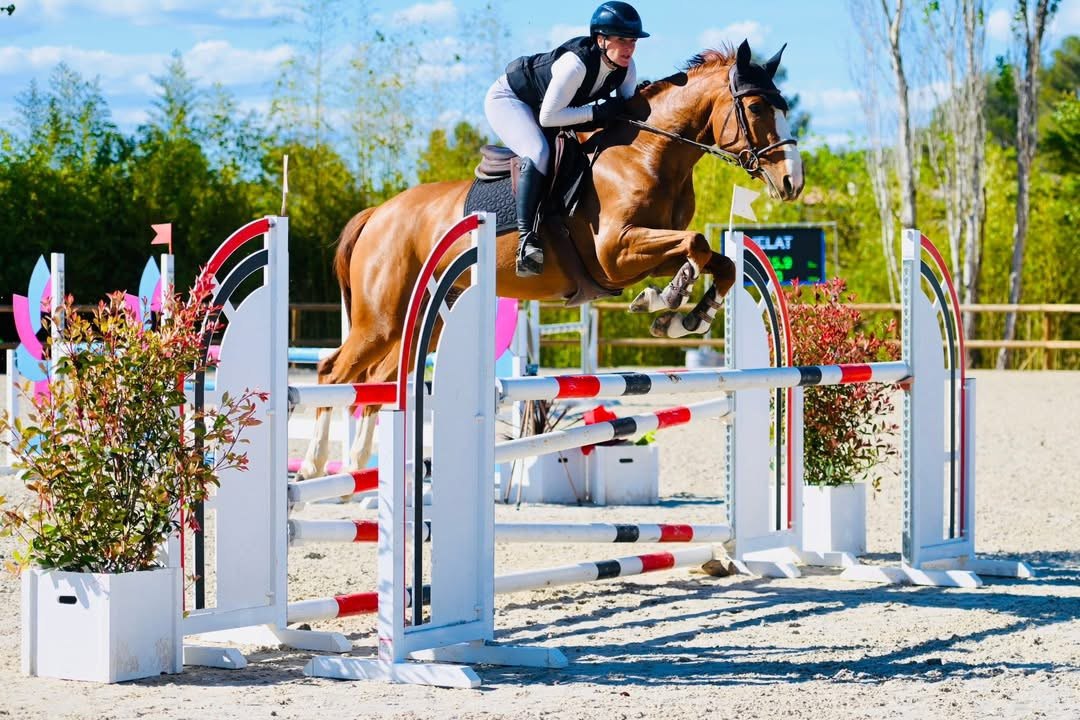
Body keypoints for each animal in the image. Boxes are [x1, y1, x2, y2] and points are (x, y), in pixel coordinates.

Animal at [297, 40, 804, 480]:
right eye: (756, 108)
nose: (792, 182)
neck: (647, 154)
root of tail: (379, 213)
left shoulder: (642, 254)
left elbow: (720, 262)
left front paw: (687, 316)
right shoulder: (616, 252)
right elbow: (696, 244)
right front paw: (670, 299)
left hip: (425, 317)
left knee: (380, 379)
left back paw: (359, 465)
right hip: (381, 318)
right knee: (334, 372)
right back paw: (314, 466)